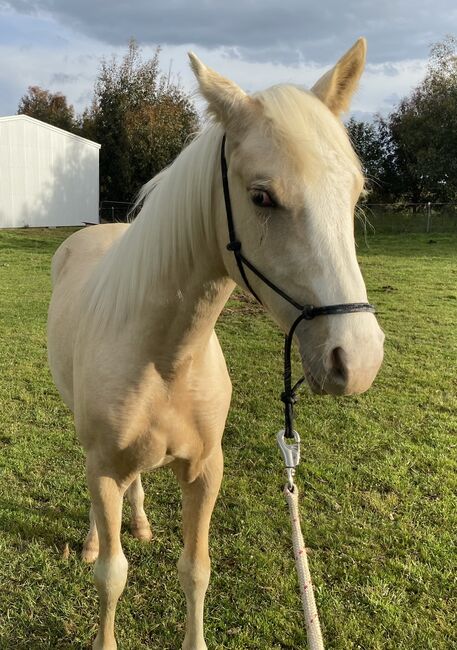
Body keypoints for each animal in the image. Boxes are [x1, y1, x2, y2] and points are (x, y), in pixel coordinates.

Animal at [48, 39, 382, 648]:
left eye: (354, 193)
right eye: (262, 196)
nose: (359, 358)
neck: (164, 357)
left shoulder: (206, 470)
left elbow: (195, 570)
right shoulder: (102, 467)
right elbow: (112, 575)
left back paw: (140, 522)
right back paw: (92, 538)